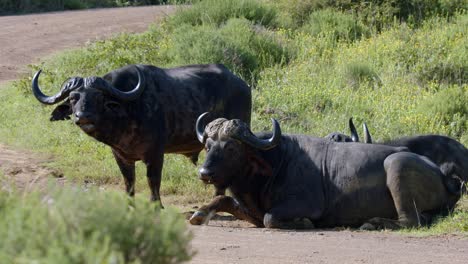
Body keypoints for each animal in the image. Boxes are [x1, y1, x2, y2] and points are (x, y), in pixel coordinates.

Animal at [32, 63, 252, 203]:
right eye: (72, 98)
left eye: (99, 97)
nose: (83, 116)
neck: (128, 113)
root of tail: (242, 85)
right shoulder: (121, 156)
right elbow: (129, 182)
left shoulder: (155, 154)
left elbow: (153, 181)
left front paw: (156, 206)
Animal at [189, 113, 458, 229]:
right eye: (208, 146)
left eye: (231, 147)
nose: (205, 172)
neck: (276, 163)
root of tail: (444, 176)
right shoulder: (250, 211)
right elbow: (223, 199)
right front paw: (200, 213)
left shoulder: (305, 205)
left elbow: (270, 218)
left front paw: (304, 223)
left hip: (397, 164)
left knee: (411, 221)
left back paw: (372, 223)